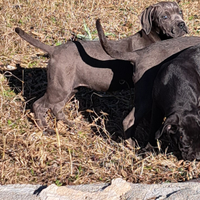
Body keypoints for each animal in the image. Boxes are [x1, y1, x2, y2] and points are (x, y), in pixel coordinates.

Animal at [14, 1, 187, 128]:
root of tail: (54, 49)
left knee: (56, 107)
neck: (154, 37)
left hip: (70, 87)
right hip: (59, 88)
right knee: (39, 105)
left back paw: (70, 124)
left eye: (180, 12)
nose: (182, 24)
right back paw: (45, 129)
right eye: (164, 16)